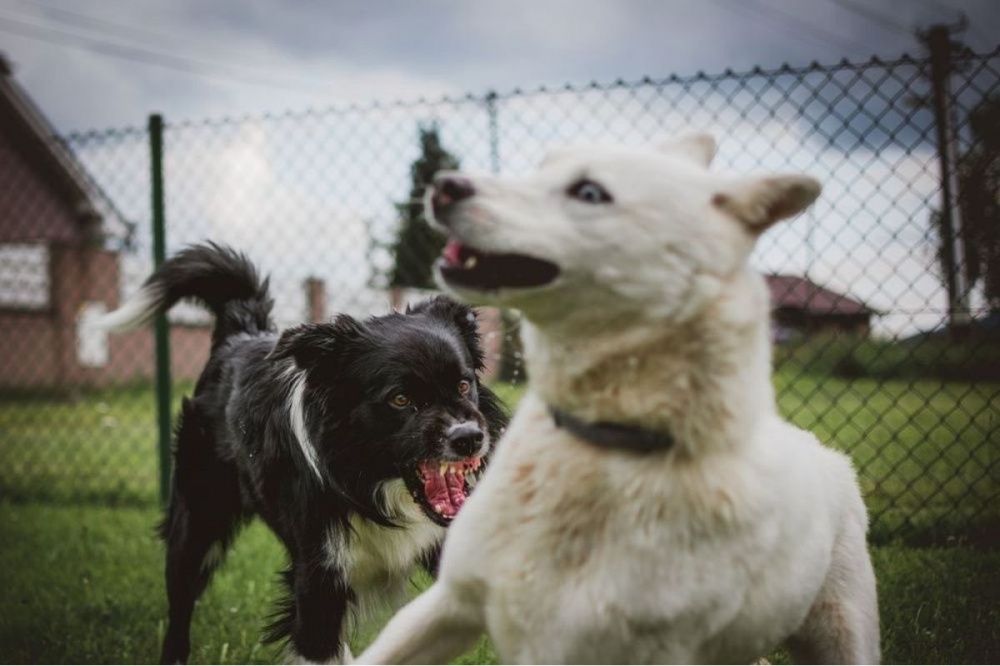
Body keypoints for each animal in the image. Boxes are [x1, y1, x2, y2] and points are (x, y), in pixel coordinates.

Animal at [99, 243, 508, 660]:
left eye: (463, 385)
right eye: (400, 399)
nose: (469, 438)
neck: (372, 484)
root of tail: (241, 333)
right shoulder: (318, 580)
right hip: (197, 521)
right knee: (180, 606)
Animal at [358, 134, 876, 660]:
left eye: (589, 192)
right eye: (544, 165)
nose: (443, 186)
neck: (600, 449)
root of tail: (822, 450)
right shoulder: (449, 603)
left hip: (841, 632)